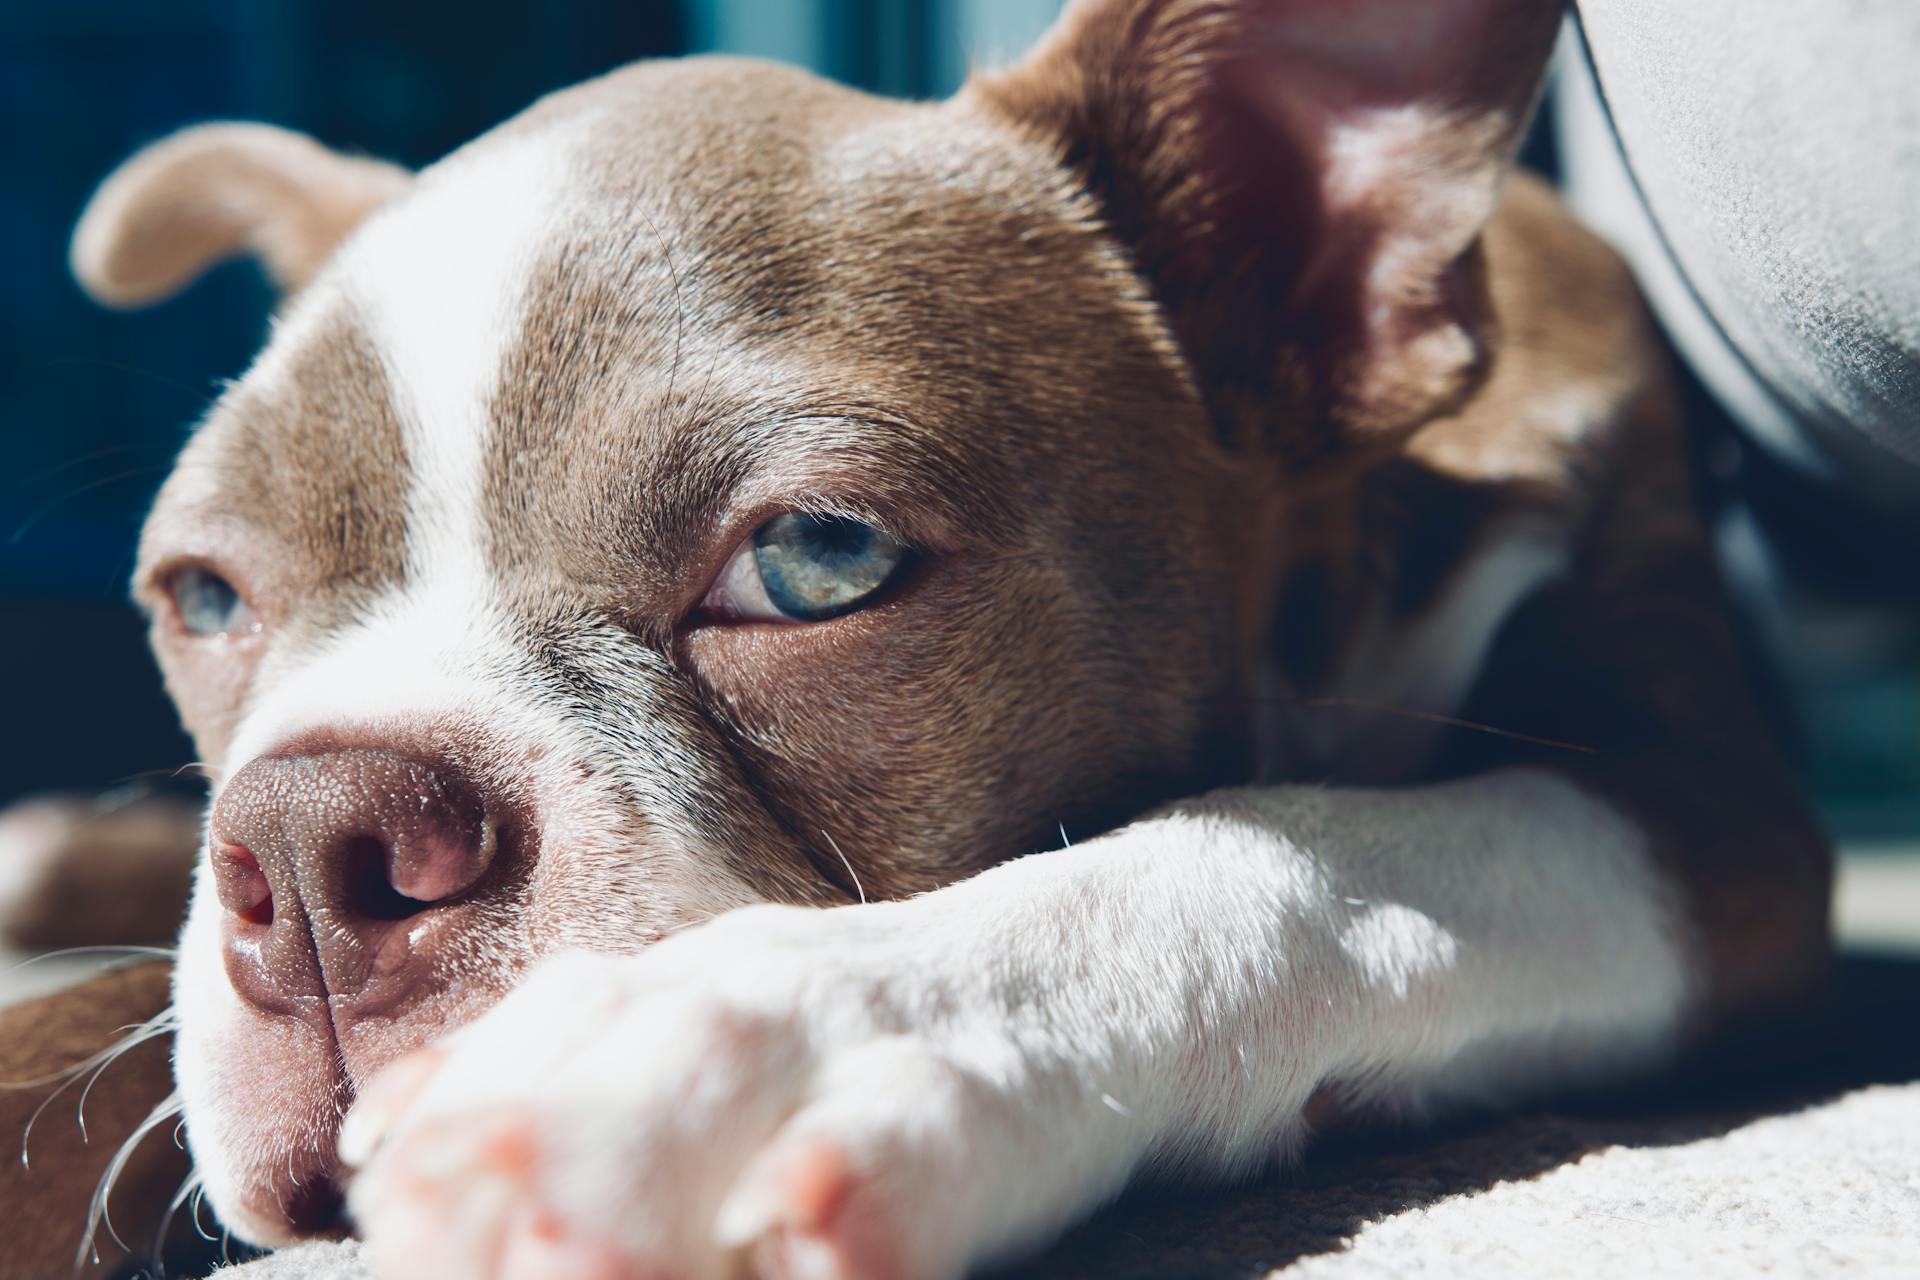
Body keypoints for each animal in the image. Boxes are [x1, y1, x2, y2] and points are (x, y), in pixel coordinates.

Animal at [22, 0, 1835, 1274]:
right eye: (203, 598)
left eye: (816, 562)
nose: (312, 839)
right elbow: (88, 1030)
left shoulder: (1712, 821)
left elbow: (1303, 847)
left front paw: (779, 1033)